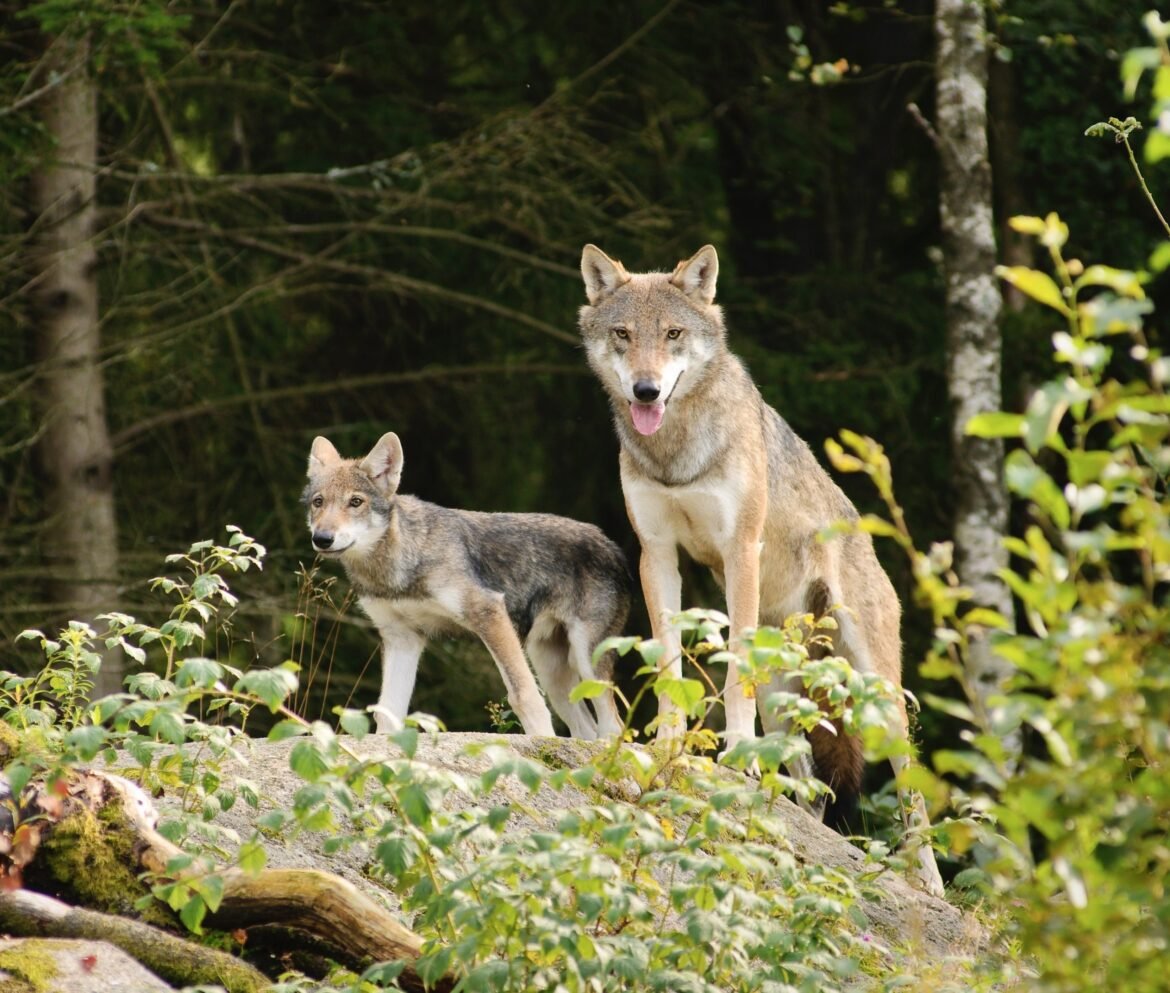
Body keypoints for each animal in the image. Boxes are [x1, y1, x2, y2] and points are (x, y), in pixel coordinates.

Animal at [304, 432, 630, 740]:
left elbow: (524, 696)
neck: (397, 569)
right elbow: (388, 711)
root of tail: (612, 545)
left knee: (613, 726)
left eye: (355, 502)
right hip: (552, 673)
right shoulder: (402, 637)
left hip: (585, 660)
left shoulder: (489, 612)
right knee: (586, 730)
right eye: (318, 502)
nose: (322, 538)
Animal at [578, 243, 945, 896]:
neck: (676, 452)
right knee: (810, 785)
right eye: (623, 335)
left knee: (909, 787)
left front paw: (734, 752)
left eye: (672, 334)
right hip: (787, 695)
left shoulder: (739, 548)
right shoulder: (656, 553)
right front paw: (669, 744)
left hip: (874, 691)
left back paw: (926, 880)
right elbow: (669, 662)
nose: (645, 391)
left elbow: (732, 673)